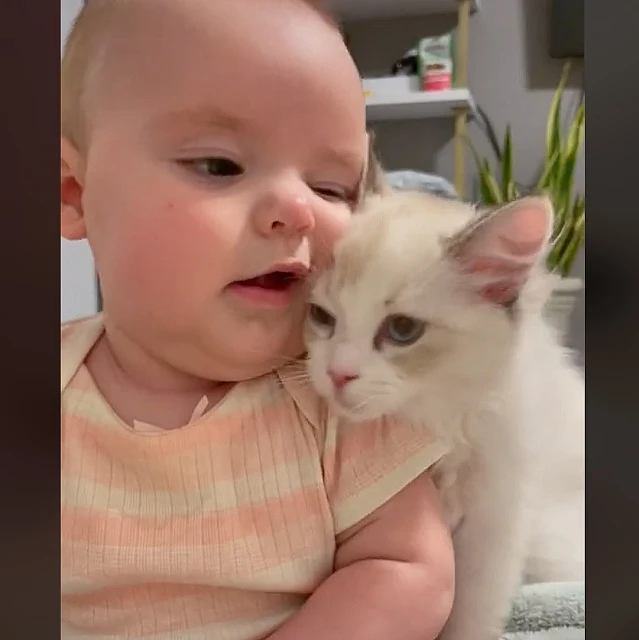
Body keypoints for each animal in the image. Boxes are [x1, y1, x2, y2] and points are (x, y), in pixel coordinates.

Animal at [304, 189, 584, 640]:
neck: (434, 430)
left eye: (402, 330)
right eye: (322, 317)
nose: (337, 374)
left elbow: (468, 620)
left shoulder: (491, 533)